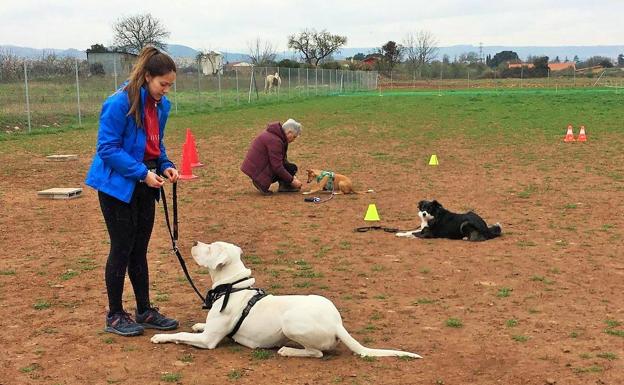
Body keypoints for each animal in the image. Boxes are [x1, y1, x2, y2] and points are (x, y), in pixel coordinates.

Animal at [152, 242, 422, 358]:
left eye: (209, 248)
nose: (195, 242)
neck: (233, 287)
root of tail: (337, 324)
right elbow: (199, 326)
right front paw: (198, 323)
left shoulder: (208, 341)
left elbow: (180, 336)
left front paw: (160, 337)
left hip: (291, 322)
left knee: (316, 353)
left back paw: (288, 350)